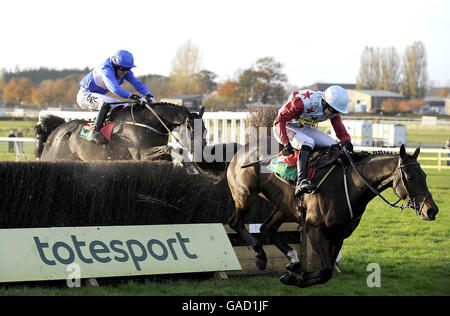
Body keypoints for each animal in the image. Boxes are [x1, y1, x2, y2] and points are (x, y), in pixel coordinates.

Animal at [36, 103, 189, 163]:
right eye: (191, 128)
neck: (150, 121)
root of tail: (57, 129)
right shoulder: (141, 155)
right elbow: (167, 149)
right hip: (52, 157)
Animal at [185, 108, 440, 288]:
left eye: (425, 175)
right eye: (410, 176)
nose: (432, 210)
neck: (351, 184)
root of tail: (239, 150)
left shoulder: (339, 236)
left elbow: (328, 272)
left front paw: (294, 274)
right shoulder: (314, 229)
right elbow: (325, 271)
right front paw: (293, 278)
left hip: (284, 205)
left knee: (267, 229)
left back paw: (293, 259)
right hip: (244, 195)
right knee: (236, 222)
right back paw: (260, 256)